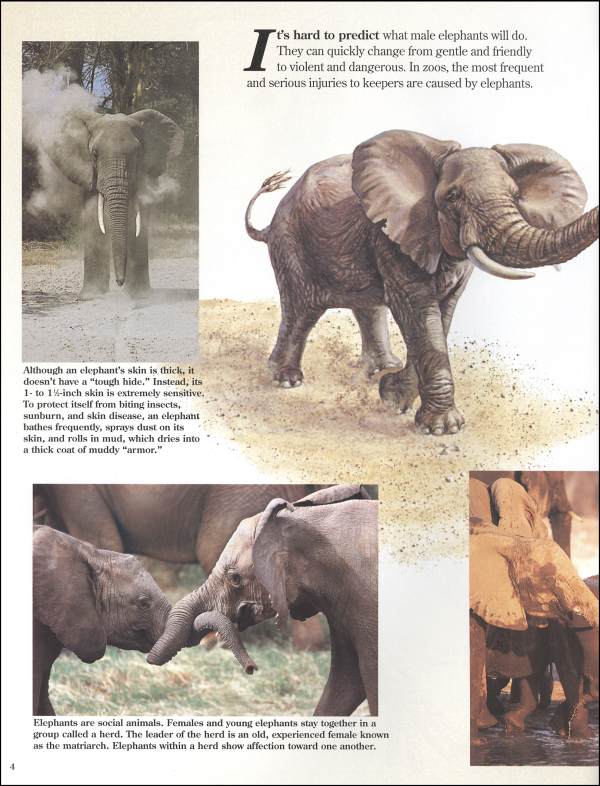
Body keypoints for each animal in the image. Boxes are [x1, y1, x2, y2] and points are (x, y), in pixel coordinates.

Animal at [43, 108, 183, 299]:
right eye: (94, 154)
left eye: (137, 154)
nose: (119, 282)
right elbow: (93, 216)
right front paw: (91, 296)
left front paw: (140, 296)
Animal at [245, 131, 599, 435]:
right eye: (453, 197)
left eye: (516, 196)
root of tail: (270, 222)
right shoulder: (392, 234)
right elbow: (417, 310)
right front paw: (440, 428)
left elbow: (442, 313)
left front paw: (391, 395)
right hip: (291, 244)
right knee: (302, 308)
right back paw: (285, 379)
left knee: (365, 306)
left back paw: (379, 369)